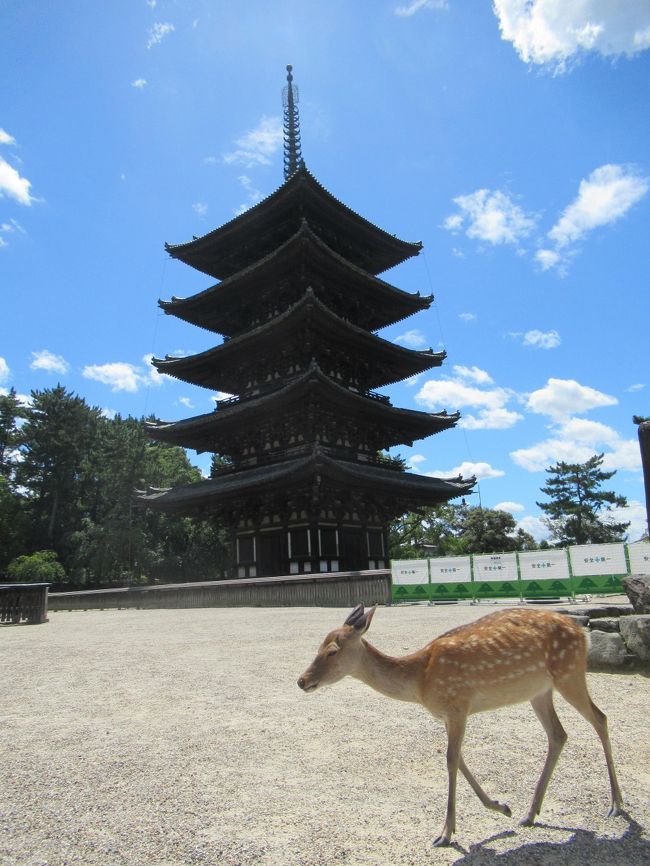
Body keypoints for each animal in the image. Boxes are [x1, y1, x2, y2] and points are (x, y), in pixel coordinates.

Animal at [296, 600, 620, 844]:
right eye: (318, 645)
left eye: (332, 650)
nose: (301, 680)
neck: (420, 681)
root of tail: (581, 631)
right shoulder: (447, 714)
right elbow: (458, 757)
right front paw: (501, 807)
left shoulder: (458, 705)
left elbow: (451, 760)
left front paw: (446, 833)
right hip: (539, 691)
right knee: (558, 734)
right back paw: (529, 813)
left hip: (570, 672)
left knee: (600, 718)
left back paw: (616, 805)